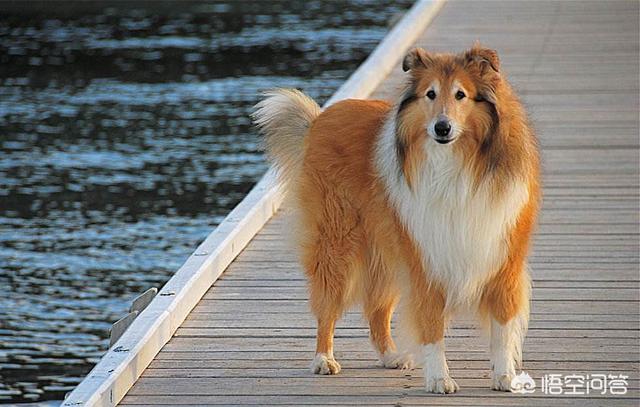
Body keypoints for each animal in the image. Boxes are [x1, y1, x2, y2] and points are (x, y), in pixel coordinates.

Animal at [254, 45, 540, 396]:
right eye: (430, 94)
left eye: (461, 94)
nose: (442, 128)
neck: (458, 163)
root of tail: (320, 118)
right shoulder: (426, 258)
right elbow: (431, 326)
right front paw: (439, 379)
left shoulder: (502, 258)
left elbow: (502, 327)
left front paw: (505, 377)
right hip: (338, 244)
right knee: (327, 306)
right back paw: (324, 359)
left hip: (387, 247)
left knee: (376, 308)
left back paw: (390, 355)